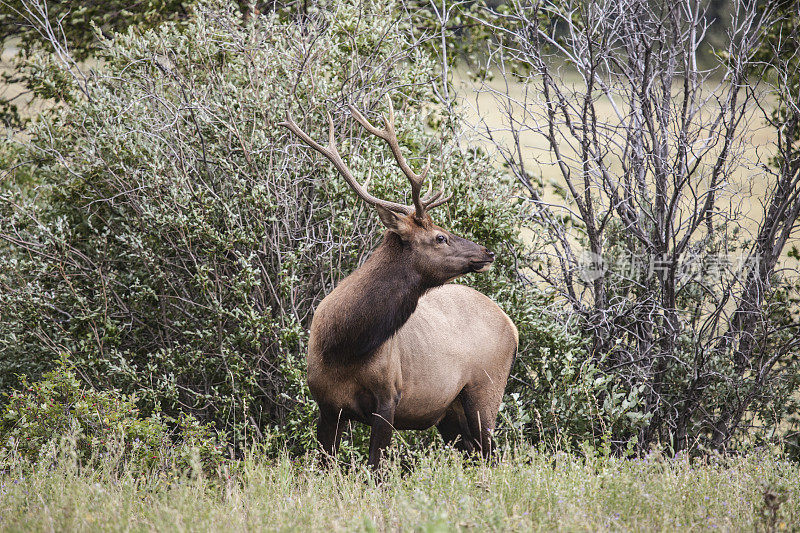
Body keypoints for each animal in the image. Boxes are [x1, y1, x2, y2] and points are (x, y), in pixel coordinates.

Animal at [280, 97, 520, 468]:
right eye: (439, 237)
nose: (487, 251)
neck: (344, 344)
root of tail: (512, 325)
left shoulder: (389, 395)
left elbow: (375, 468)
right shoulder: (327, 404)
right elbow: (325, 464)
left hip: (486, 389)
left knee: (493, 455)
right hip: (452, 411)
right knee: (476, 454)